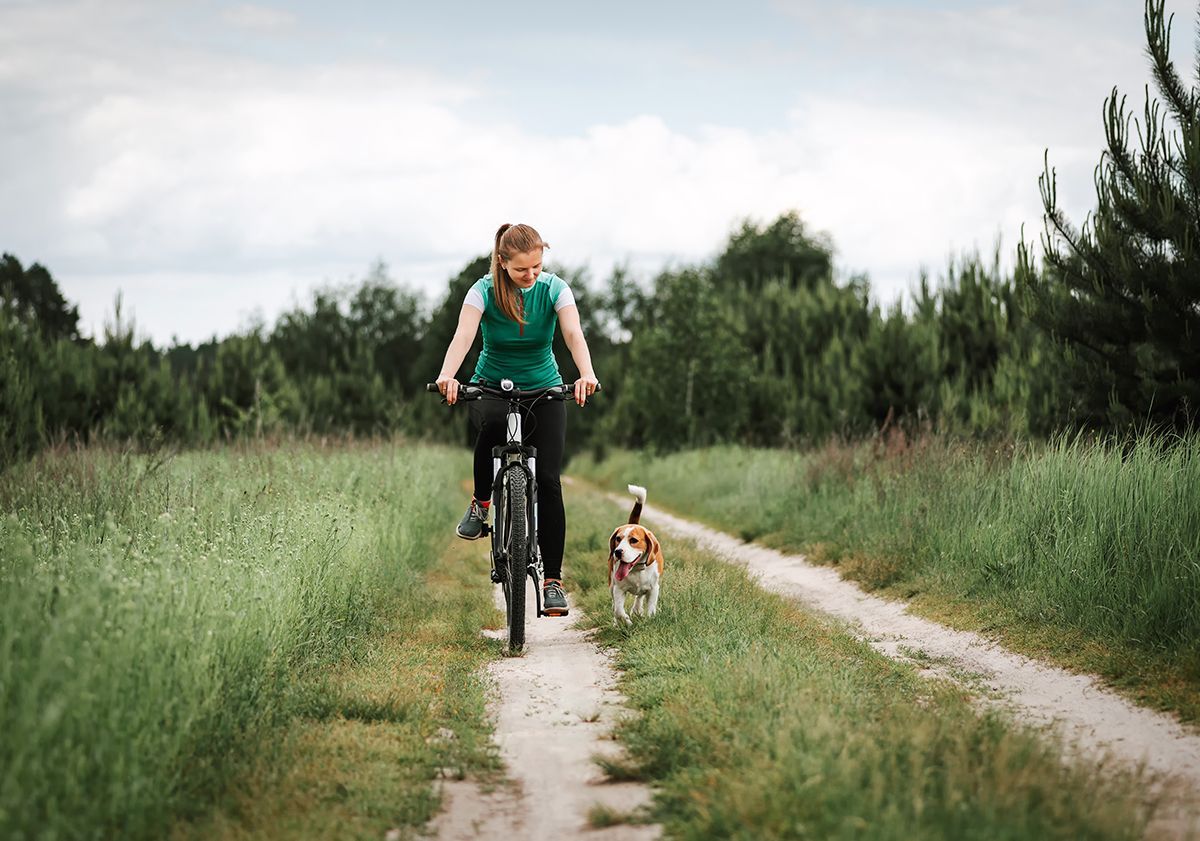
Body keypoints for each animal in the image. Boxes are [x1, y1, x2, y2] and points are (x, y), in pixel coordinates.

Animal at [609, 484, 667, 623]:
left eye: (633, 540)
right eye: (618, 539)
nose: (617, 552)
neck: (636, 569)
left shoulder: (654, 589)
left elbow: (651, 609)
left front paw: (648, 620)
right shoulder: (618, 589)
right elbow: (618, 611)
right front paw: (627, 622)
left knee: (639, 596)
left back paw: (636, 610)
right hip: (611, 585)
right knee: (615, 605)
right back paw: (617, 622)